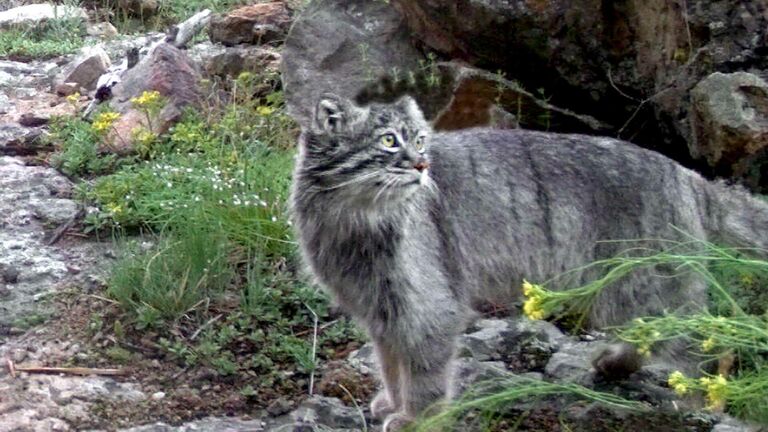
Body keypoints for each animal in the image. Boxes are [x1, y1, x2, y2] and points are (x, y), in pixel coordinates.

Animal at [290, 93, 768, 428]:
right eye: (389, 141)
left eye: (421, 140)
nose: (423, 165)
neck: (353, 224)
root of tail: (688, 176)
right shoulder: (381, 308)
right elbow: (391, 364)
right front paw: (392, 401)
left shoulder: (426, 305)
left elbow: (423, 373)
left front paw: (417, 416)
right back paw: (614, 363)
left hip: (647, 289)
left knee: (704, 344)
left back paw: (698, 403)